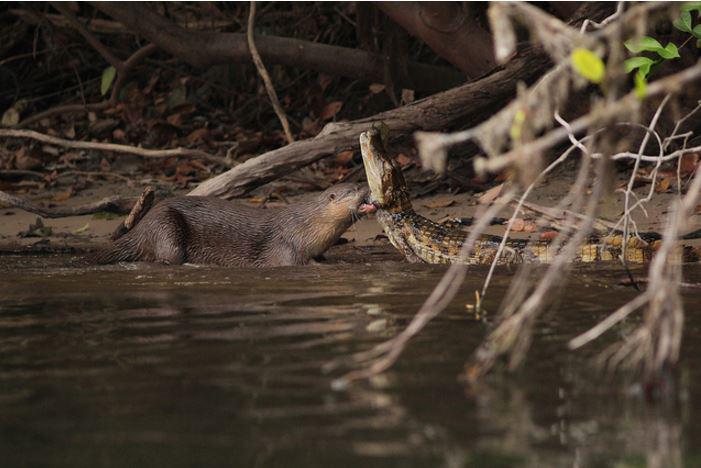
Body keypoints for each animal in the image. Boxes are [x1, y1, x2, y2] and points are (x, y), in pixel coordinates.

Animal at [97, 185, 378, 268]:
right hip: (165, 225)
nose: (367, 188)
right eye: (353, 189)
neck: (306, 227)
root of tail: (142, 226)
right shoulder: (285, 245)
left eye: (360, 183)